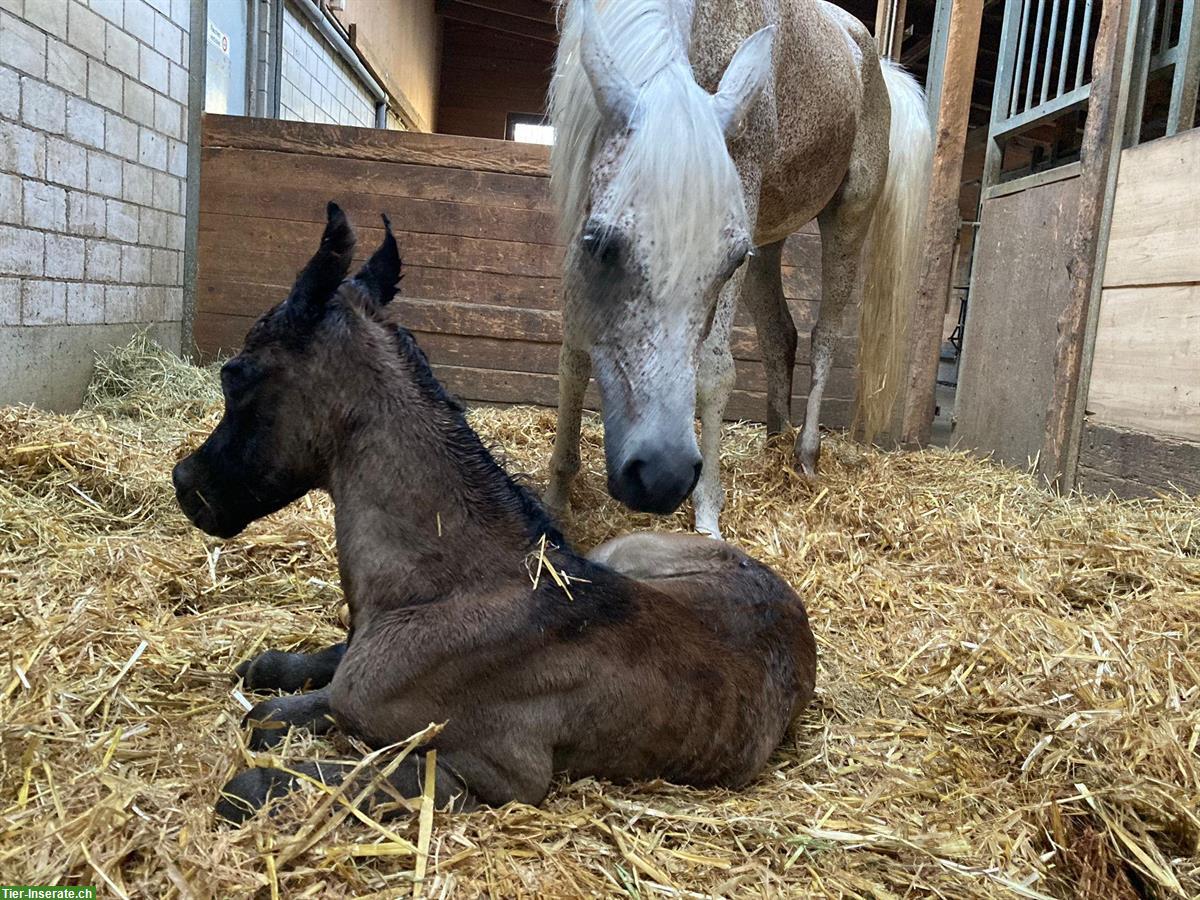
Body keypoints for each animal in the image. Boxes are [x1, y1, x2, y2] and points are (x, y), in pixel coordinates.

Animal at [171, 204, 816, 825]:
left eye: (235, 374)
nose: (185, 484)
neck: (449, 586)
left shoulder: (497, 773)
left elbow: (295, 768)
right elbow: (294, 708)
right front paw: (279, 681)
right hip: (621, 554)